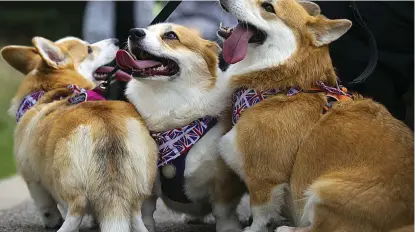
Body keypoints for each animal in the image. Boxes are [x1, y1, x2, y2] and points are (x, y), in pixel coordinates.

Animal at [0, 35, 158, 231]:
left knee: (76, 209)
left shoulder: (33, 179)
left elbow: (46, 207)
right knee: (135, 212)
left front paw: (51, 222)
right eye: (89, 50)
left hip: (67, 180)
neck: (52, 90)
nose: (116, 40)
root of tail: (107, 129)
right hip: (140, 183)